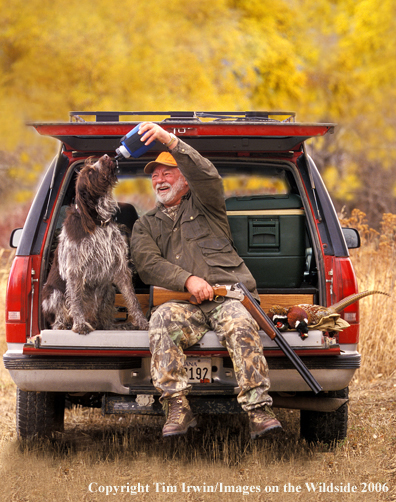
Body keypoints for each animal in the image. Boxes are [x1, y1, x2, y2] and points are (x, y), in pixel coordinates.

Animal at [42, 153, 148, 334]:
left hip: (108, 290)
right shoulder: (75, 269)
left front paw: (142, 322)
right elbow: (76, 301)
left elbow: (132, 298)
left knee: (104, 322)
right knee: (59, 317)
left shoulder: (120, 266)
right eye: (90, 172)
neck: (98, 220)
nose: (105, 156)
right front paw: (80, 325)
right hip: (53, 293)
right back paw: (65, 325)